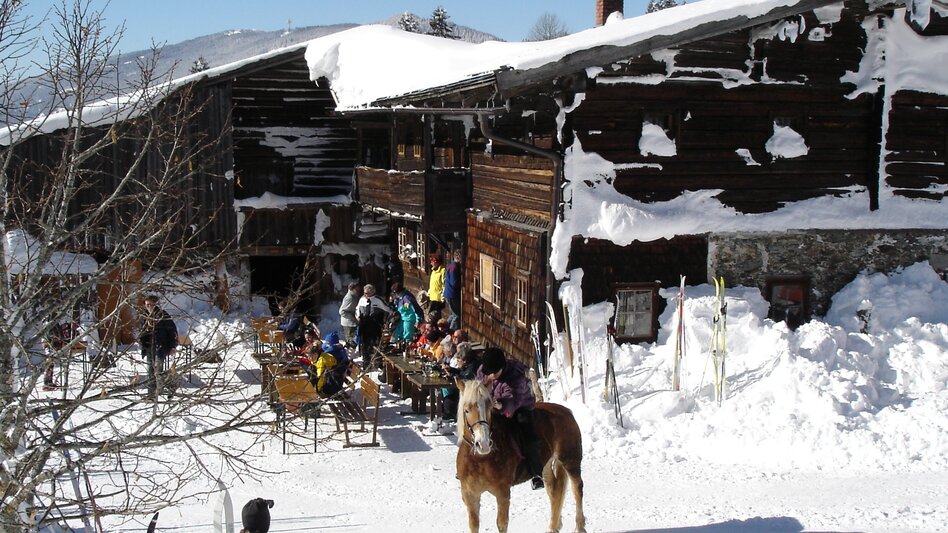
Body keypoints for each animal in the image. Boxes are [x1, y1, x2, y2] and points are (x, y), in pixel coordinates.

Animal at [456, 379, 586, 533]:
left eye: (489, 408)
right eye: (466, 410)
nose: (484, 444)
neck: (480, 460)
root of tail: (567, 411)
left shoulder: (502, 493)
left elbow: (501, 524)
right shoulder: (470, 495)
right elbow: (474, 525)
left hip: (570, 459)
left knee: (577, 489)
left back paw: (579, 526)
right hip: (546, 465)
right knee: (555, 490)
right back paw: (552, 527)